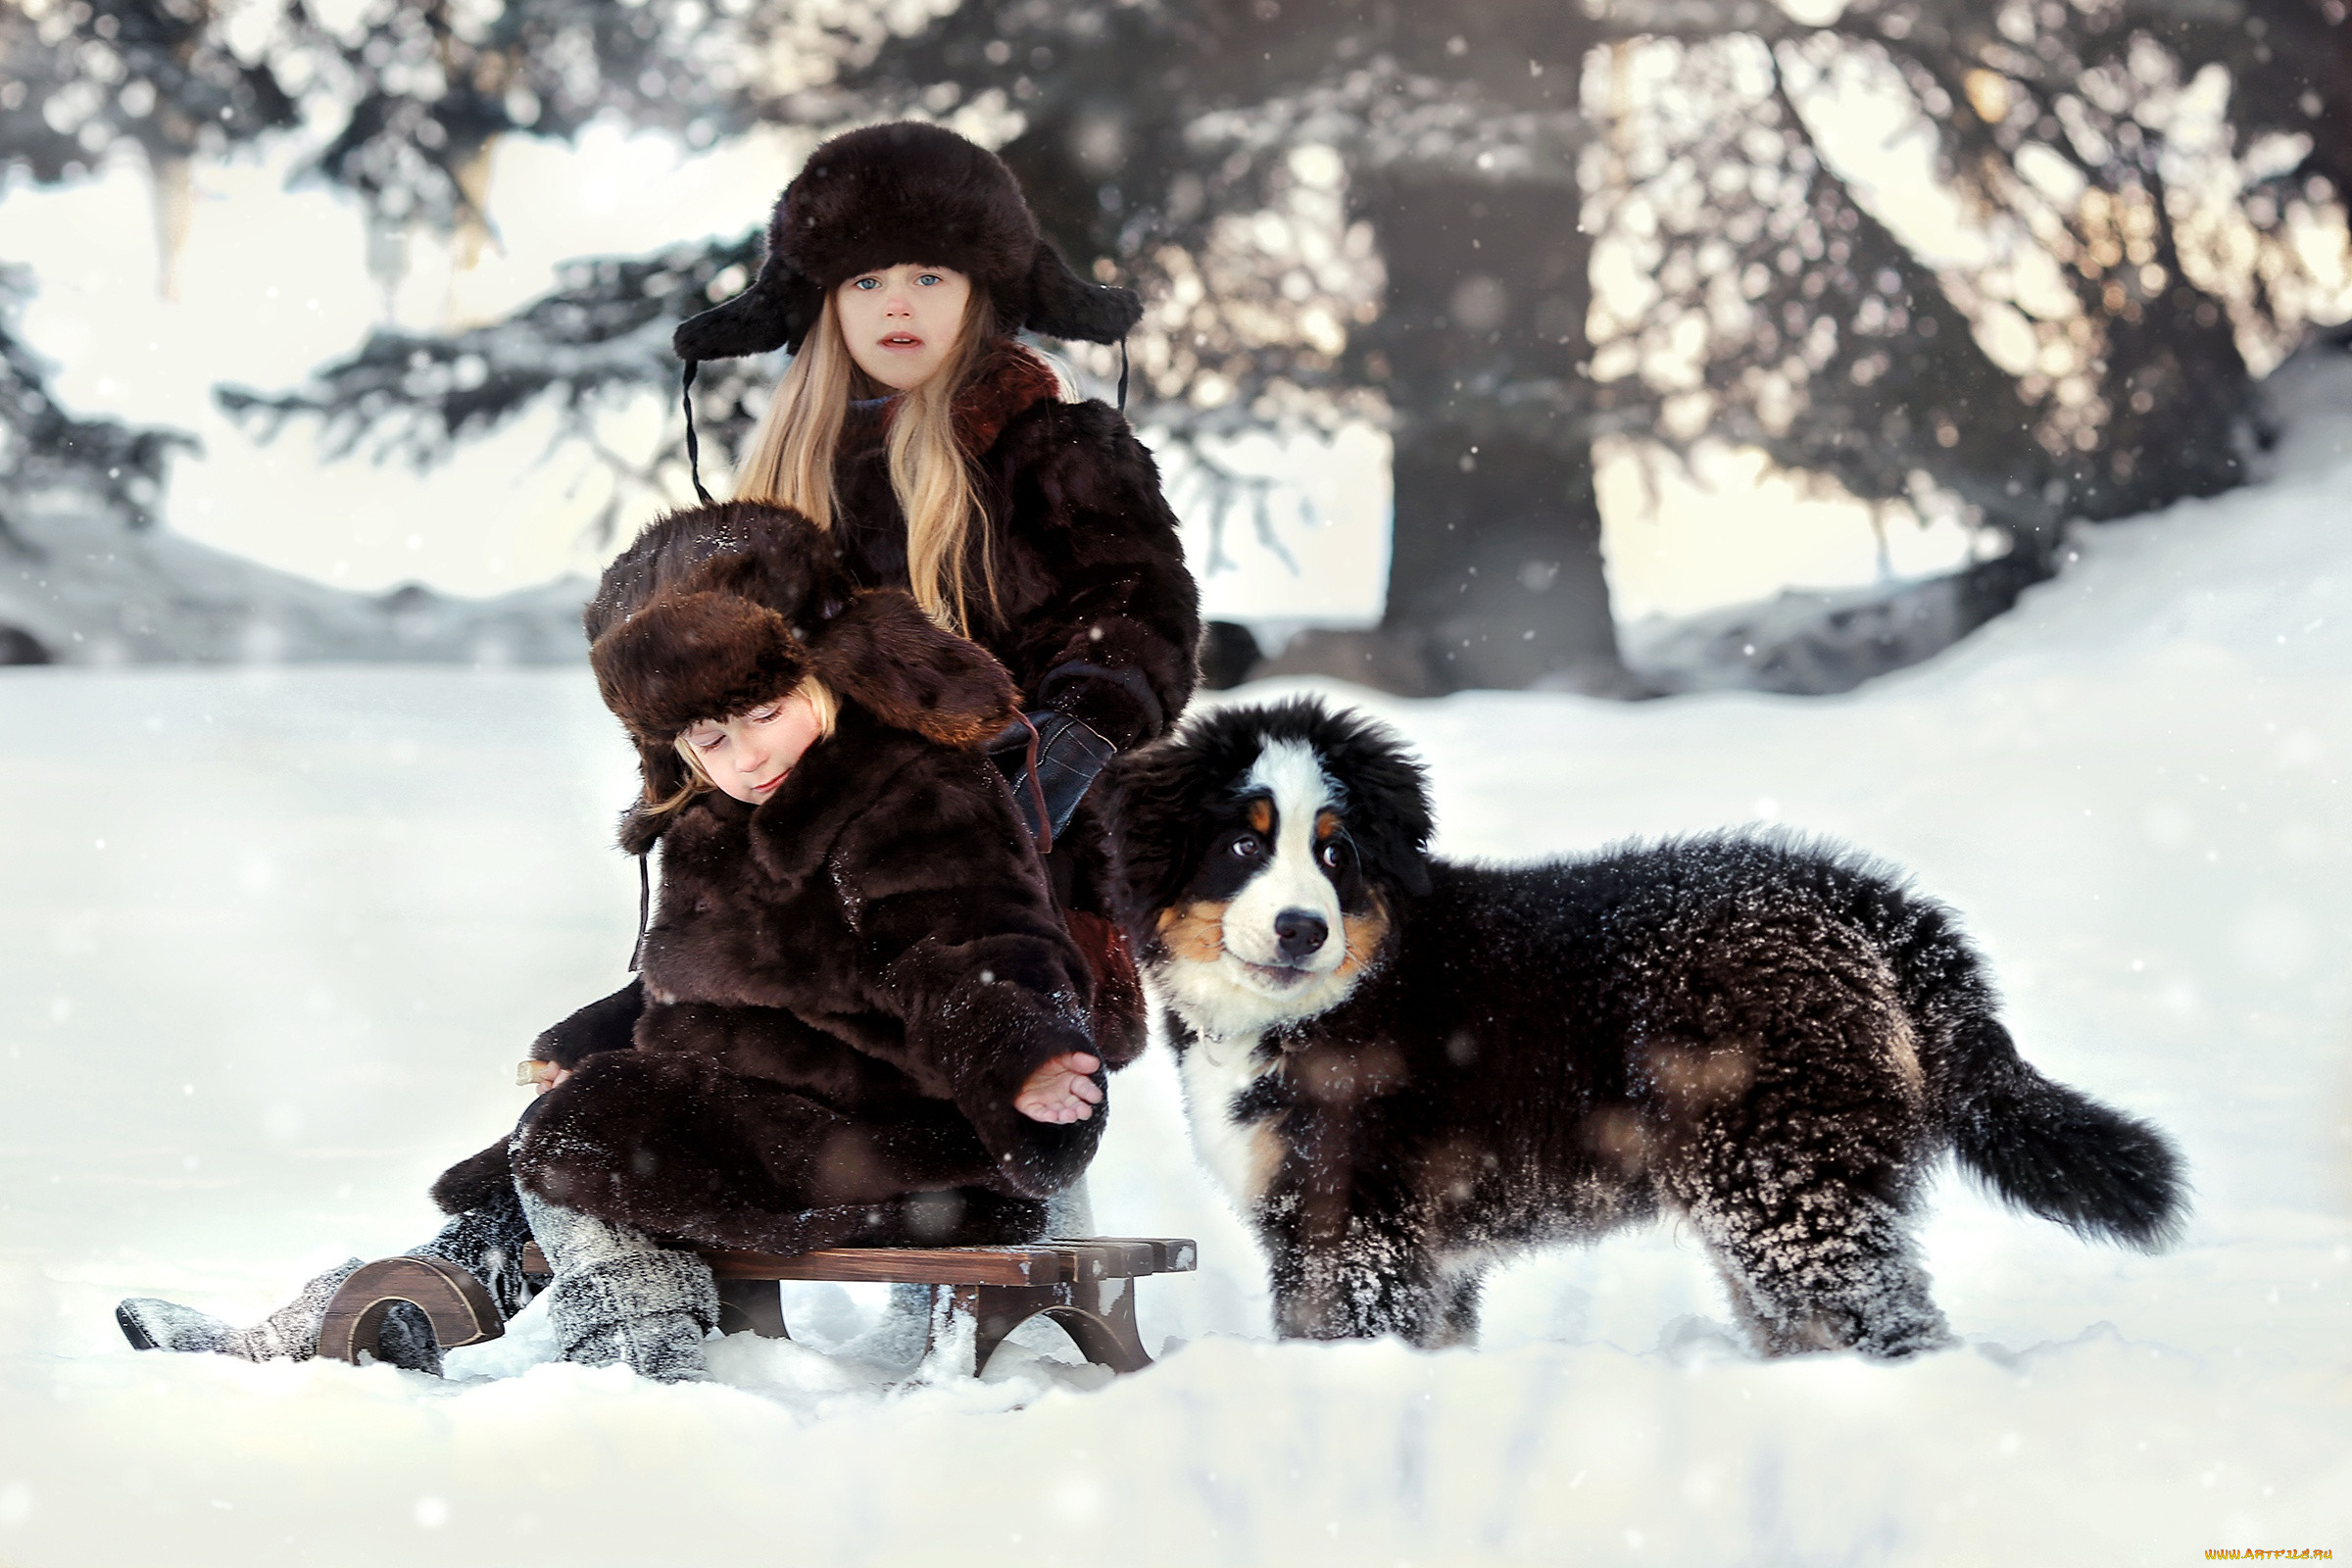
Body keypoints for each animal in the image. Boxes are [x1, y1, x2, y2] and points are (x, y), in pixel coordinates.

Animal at [1101, 696, 2182, 1353]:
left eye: (1337, 854)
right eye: (1244, 844)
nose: (1302, 927)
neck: (1337, 997)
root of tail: (1857, 899)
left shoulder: (1356, 1220)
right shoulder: (1421, 1249)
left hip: (1782, 1182)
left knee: (1890, 1321)